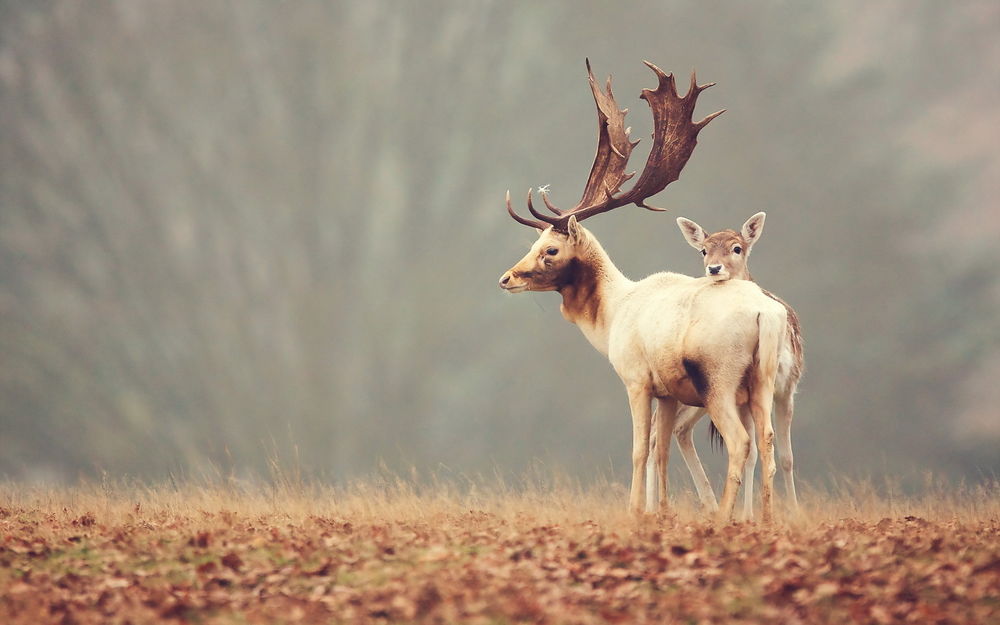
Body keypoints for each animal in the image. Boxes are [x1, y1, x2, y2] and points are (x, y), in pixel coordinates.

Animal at [497, 60, 788, 522]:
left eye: (550, 249)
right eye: (534, 242)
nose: (506, 278)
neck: (612, 315)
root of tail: (767, 314)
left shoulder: (635, 378)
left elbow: (638, 449)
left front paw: (635, 510)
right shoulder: (667, 391)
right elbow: (660, 451)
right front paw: (661, 511)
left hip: (719, 379)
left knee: (740, 442)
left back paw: (723, 517)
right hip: (762, 380)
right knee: (769, 443)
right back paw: (766, 519)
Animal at [645, 213, 805, 517]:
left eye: (737, 248)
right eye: (703, 250)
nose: (714, 268)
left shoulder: (787, 386)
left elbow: (786, 456)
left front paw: (789, 511)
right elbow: (756, 452)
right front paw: (748, 515)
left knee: (673, 431)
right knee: (660, 434)